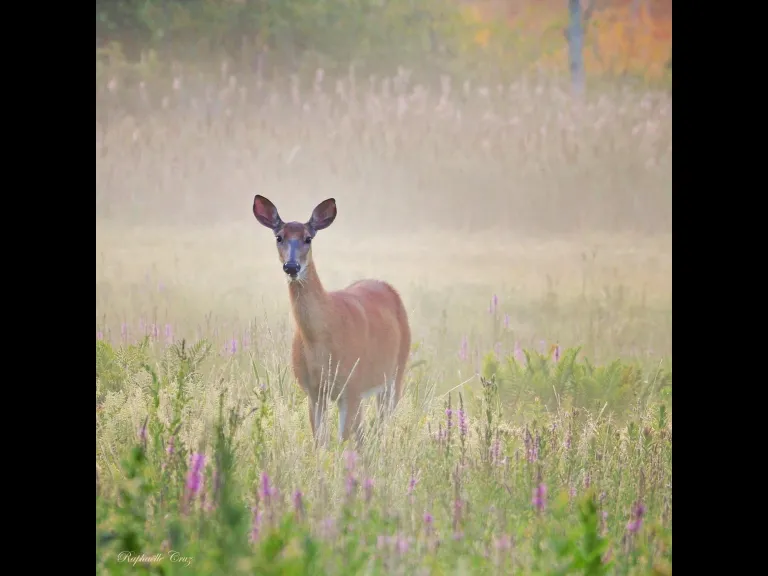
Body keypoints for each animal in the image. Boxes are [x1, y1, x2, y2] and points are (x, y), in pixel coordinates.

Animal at [252, 195, 412, 447]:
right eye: (279, 237)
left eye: (308, 238)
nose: (291, 267)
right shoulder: (314, 392)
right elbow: (321, 443)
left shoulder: (351, 386)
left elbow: (342, 441)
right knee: (364, 432)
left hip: (396, 372)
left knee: (382, 425)